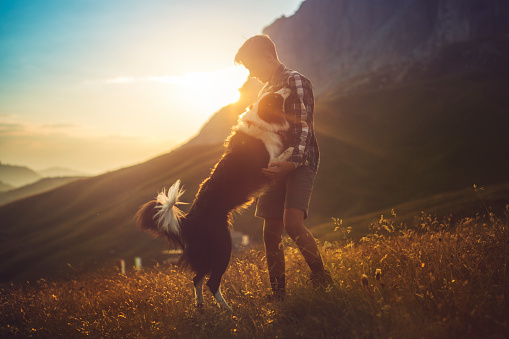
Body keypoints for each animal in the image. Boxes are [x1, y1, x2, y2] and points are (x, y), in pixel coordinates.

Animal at [135, 87, 292, 310]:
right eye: (275, 97)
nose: (286, 87)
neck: (261, 119)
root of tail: (188, 220)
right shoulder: (267, 167)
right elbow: (283, 155)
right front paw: (293, 149)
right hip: (223, 248)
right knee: (211, 282)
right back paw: (229, 310)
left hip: (208, 253)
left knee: (197, 279)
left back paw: (201, 307)